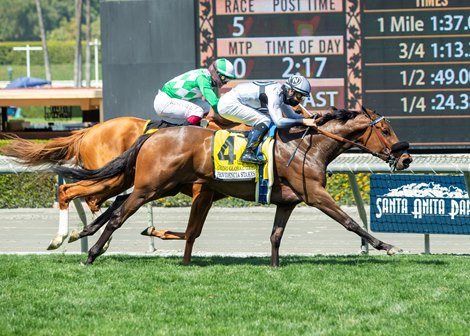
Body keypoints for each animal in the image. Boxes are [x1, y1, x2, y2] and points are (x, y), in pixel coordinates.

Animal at [52, 107, 412, 266]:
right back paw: (89, 252)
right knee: (111, 212)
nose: (406, 158)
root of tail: (152, 135)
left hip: (162, 186)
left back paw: (83, 236)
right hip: (149, 187)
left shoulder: (287, 201)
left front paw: (274, 266)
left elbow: (275, 235)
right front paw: (387, 246)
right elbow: (351, 222)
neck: (308, 145)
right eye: (386, 131)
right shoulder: (315, 194)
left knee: (110, 203)